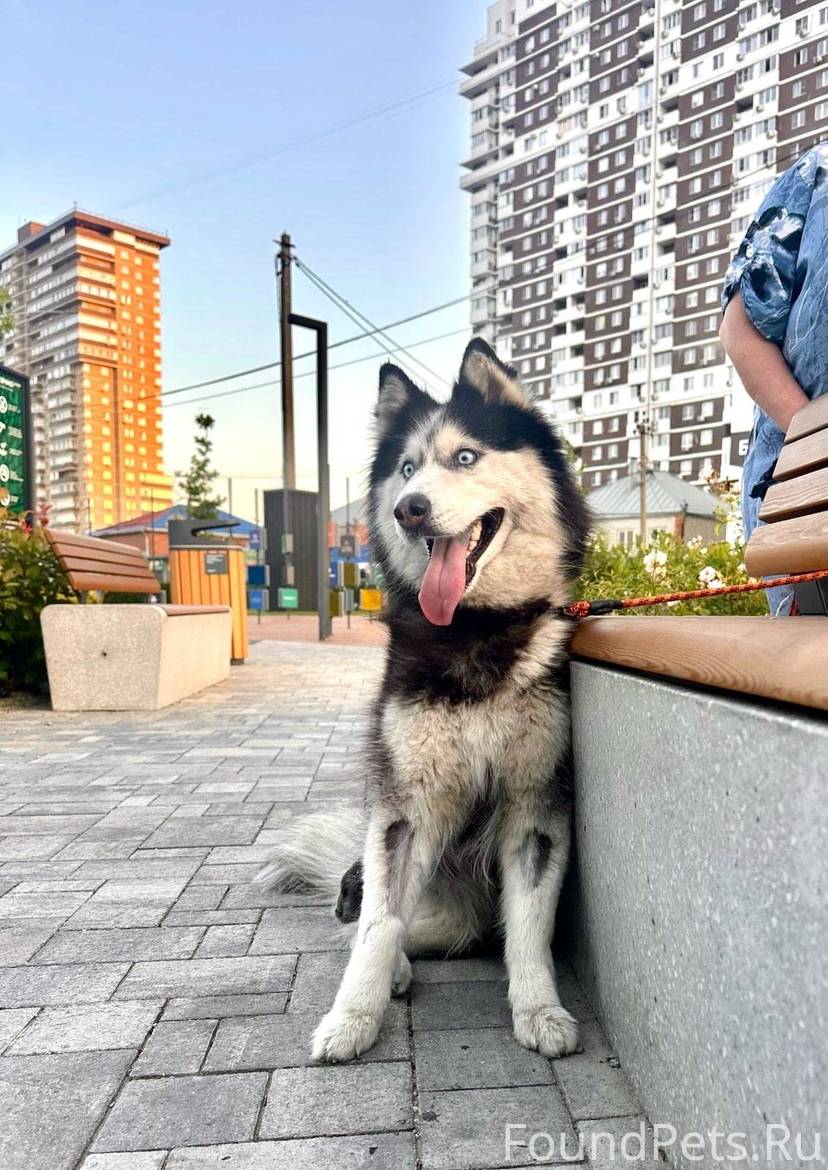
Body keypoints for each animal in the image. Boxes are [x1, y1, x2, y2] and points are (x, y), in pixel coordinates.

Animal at [258, 338, 590, 1062]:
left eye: (465, 457)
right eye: (407, 467)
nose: (408, 507)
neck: (475, 630)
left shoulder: (536, 806)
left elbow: (530, 928)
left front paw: (539, 1008)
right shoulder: (405, 811)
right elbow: (378, 927)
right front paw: (354, 1016)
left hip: (465, 915)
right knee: (356, 914)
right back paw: (388, 962)